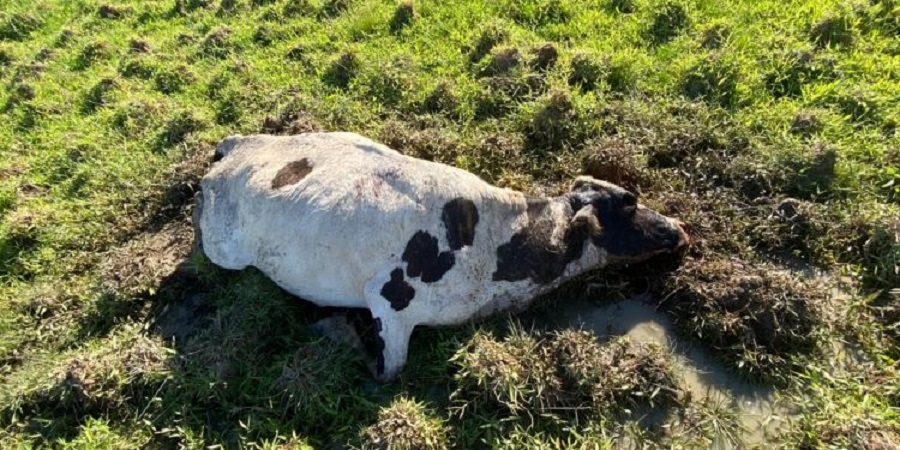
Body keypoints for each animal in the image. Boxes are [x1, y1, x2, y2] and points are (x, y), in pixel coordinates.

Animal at [197, 132, 688, 382]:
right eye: (629, 201)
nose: (680, 229)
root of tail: (234, 147)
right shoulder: (389, 299)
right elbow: (387, 373)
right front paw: (334, 329)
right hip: (222, 245)